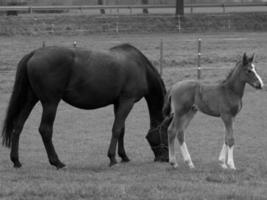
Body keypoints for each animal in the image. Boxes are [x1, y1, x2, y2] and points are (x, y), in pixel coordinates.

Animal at [2, 43, 171, 169]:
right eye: (167, 133)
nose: (165, 158)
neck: (140, 66)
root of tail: (34, 53)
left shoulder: (119, 103)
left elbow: (121, 129)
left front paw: (124, 156)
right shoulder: (127, 101)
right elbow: (116, 129)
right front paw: (112, 158)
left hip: (30, 99)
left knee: (18, 126)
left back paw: (16, 161)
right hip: (50, 103)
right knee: (45, 130)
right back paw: (57, 162)